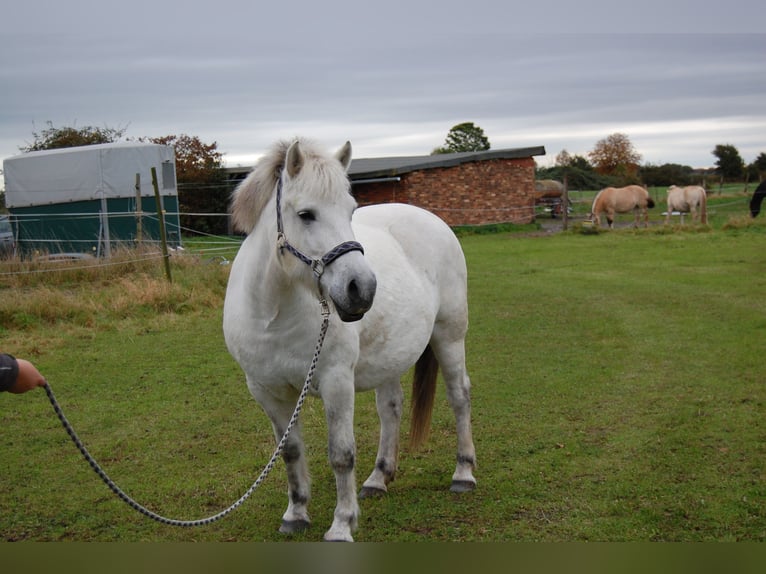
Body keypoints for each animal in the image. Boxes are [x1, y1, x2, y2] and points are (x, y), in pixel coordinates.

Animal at [222, 140, 476, 544]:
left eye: (351, 210)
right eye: (306, 214)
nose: (363, 289)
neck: (273, 315)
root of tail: (431, 219)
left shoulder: (336, 382)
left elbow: (341, 454)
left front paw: (341, 525)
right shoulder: (267, 391)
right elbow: (290, 451)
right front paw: (296, 514)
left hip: (449, 336)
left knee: (459, 396)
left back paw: (463, 473)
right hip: (391, 354)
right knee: (391, 407)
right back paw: (378, 478)